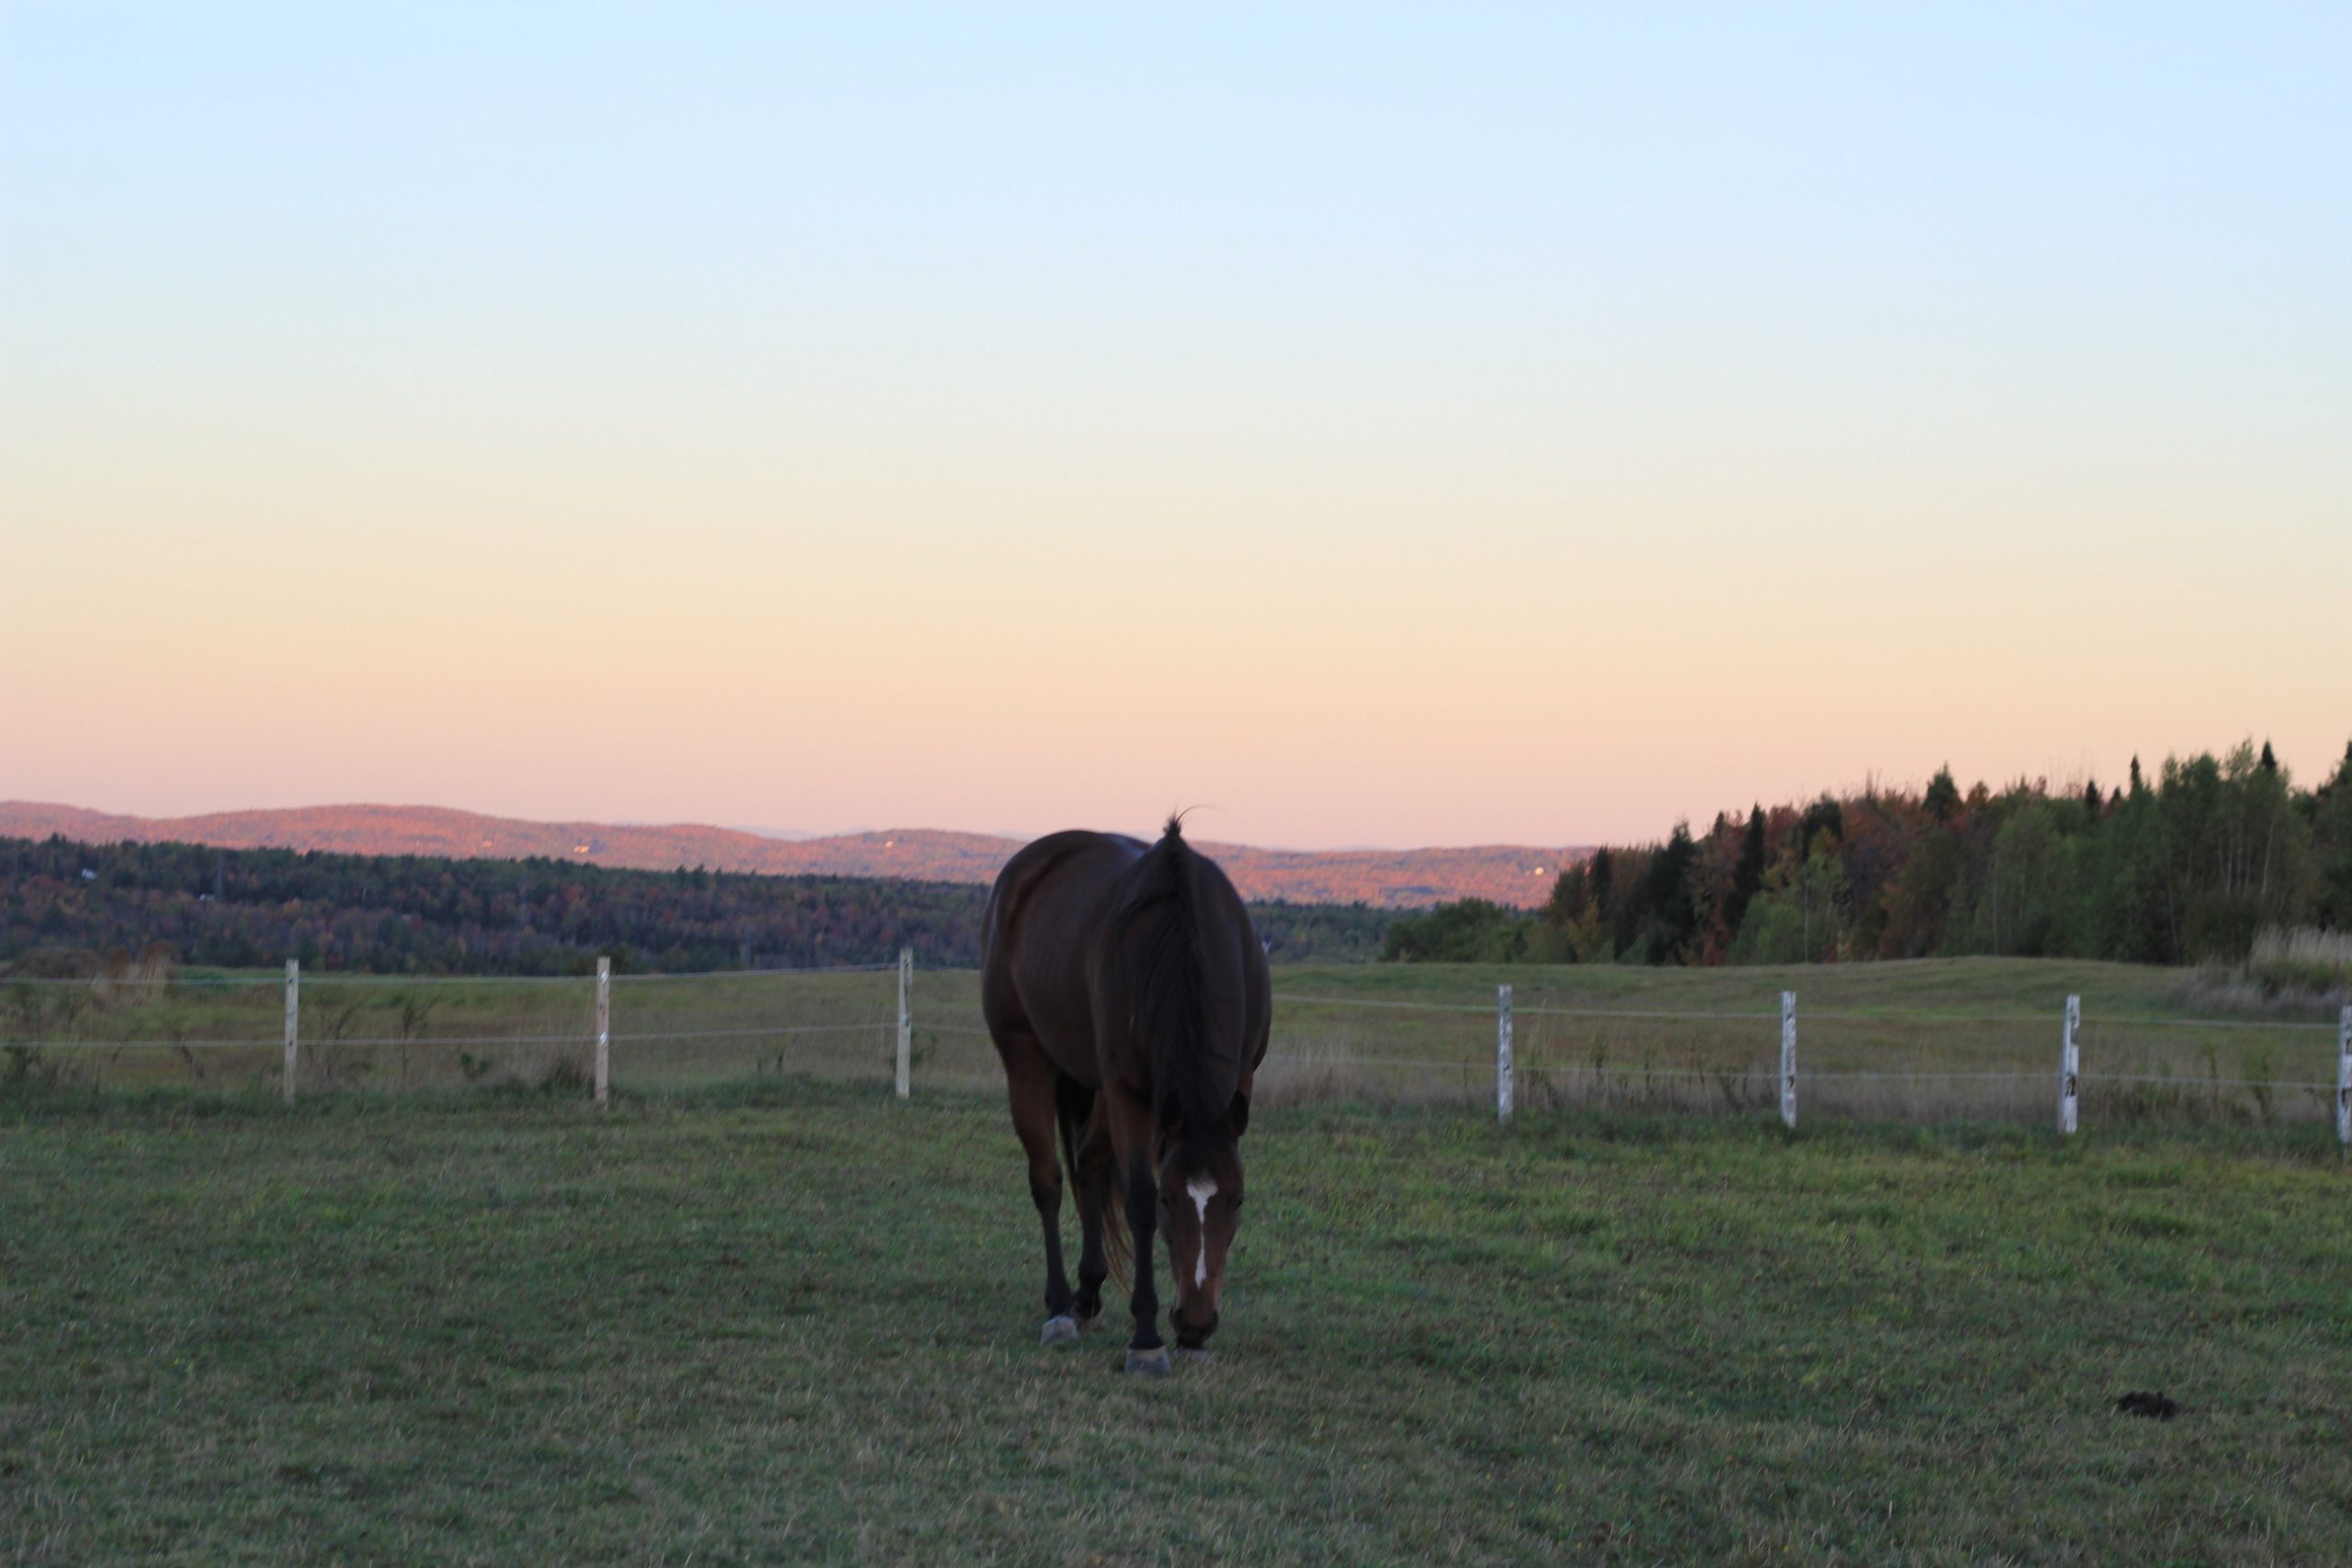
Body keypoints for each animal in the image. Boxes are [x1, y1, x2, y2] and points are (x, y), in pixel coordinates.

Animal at [980, 817, 1271, 1375]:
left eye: (1239, 1199)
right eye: (1168, 1199)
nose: (1196, 1323)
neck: (1180, 937)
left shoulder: (1241, 1077)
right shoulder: (1126, 1091)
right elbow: (1135, 1201)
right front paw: (1147, 1338)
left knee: (1090, 1165)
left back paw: (1088, 1293)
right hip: (1026, 1056)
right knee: (1048, 1180)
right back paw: (1060, 1308)